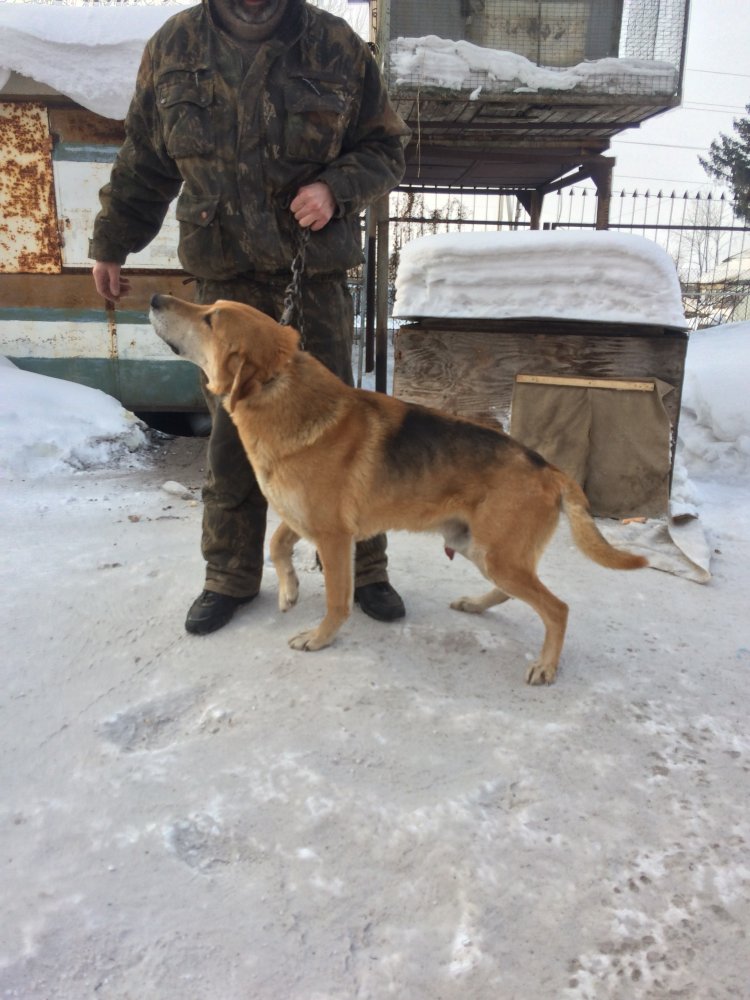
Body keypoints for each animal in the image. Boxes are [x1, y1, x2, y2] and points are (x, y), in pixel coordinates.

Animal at [149, 294, 647, 685]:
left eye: (211, 318)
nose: (154, 299)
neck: (280, 392)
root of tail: (549, 468)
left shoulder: (334, 537)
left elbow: (336, 599)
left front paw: (319, 637)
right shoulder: (304, 520)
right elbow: (275, 543)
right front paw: (289, 591)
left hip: (497, 556)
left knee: (557, 608)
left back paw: (546, 665)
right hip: (478, 549)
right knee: (516, 593)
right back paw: (476, 604)